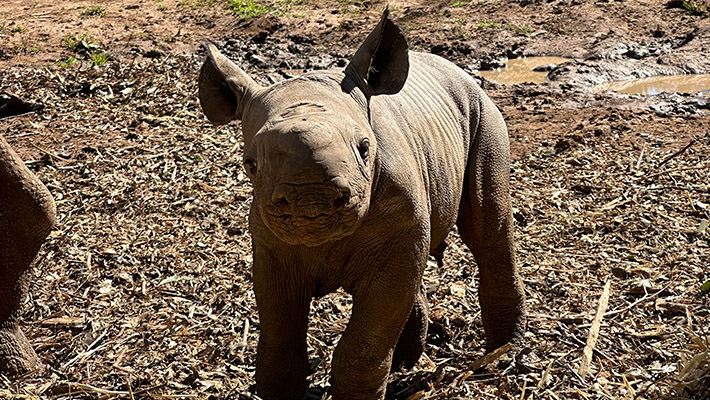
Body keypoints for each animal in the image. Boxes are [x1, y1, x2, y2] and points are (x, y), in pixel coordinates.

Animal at [198, 10, 525, 400]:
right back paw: (409, 363)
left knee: (488, 227)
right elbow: (279, 341)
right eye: (250, 164)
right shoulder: (271, 246)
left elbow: (365, 341)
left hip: (483, 114)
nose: (311, 198)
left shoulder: (398, 228)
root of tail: (458, 71)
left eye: (365, 148)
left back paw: (501, 356)